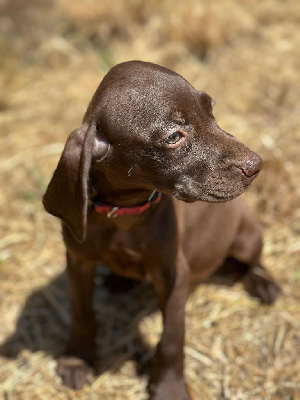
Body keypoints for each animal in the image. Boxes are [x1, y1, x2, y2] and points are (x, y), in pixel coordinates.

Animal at [43, 60, 280, 400]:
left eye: (211, 109)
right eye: (173, 137)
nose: (256, 164)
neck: (124, 212)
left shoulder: (174, 275)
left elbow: (171, 338)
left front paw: (169, 388)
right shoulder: (78, 261)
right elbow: (81, 312)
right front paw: (78, 360)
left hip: (247, 238)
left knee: (253, 260)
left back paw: (262, 282)